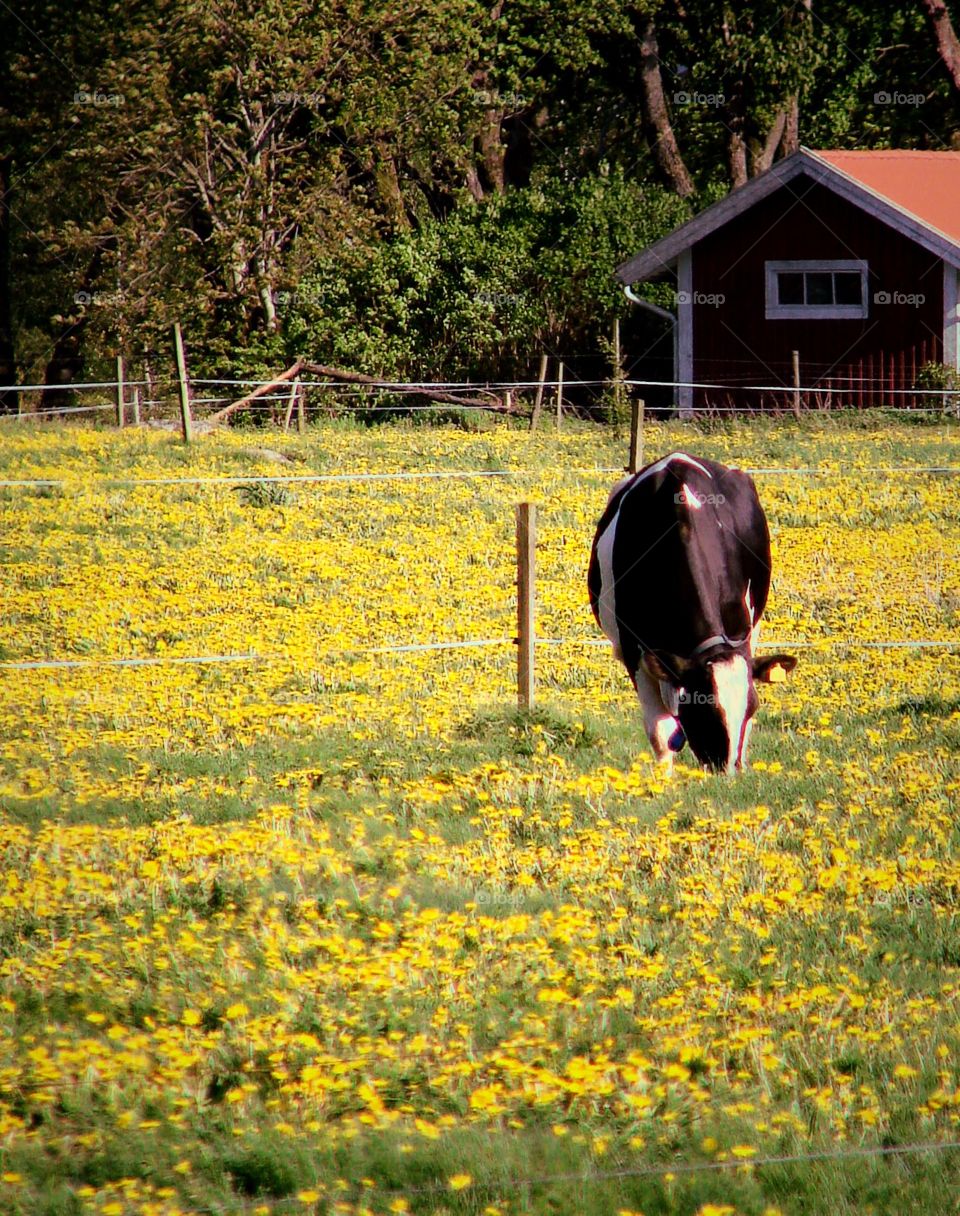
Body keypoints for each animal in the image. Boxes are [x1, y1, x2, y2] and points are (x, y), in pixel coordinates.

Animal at [588, 452, 796, 773]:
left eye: (753, 707)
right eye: (703, 708)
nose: (727, 774)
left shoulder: (741, 634)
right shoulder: (636, 650)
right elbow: (661, 734)